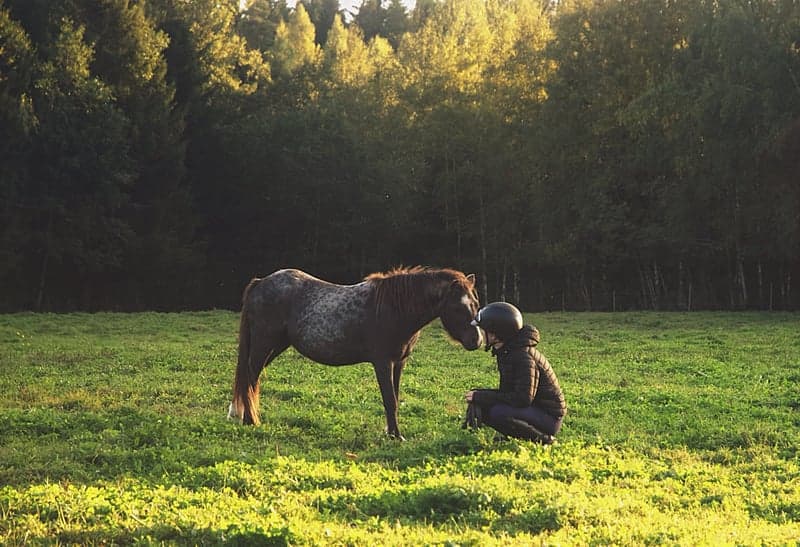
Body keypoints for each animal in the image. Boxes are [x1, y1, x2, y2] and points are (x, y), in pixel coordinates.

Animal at [228, 266, 484, 440]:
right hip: (264, 344)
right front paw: (396, 436)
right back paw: (250, 420)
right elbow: (389, 400)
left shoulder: (399, 363)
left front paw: (391, 432)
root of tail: (260, 282)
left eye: (475, 303)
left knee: (252, 377)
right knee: (250, 377)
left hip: (276, 345)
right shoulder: (382, 362)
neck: (394, 308)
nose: (477, 340)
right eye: (457, 307)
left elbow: (395, 397)